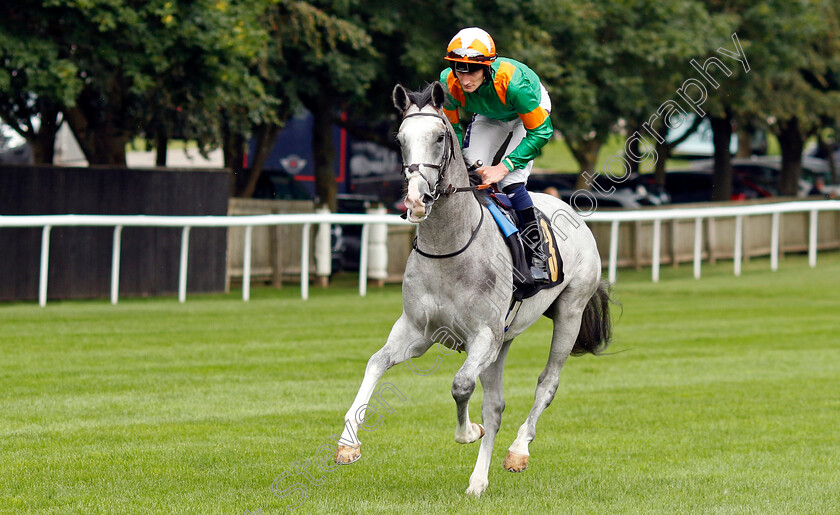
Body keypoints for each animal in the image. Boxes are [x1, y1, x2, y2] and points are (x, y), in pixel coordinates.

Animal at [334, 82, 612, 498]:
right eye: (400, 139)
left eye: (438, 137)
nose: (416, 199)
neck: (448, 246)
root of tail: (571, 211)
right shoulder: (417, 331)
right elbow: (376, 362)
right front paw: (348, 443)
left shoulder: (482, 335)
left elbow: (461, 384)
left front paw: (468, 433)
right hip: (505, 339)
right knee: (495, 405)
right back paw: (479, 480)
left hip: (569, 313)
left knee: (546, 384)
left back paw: (517, 451)